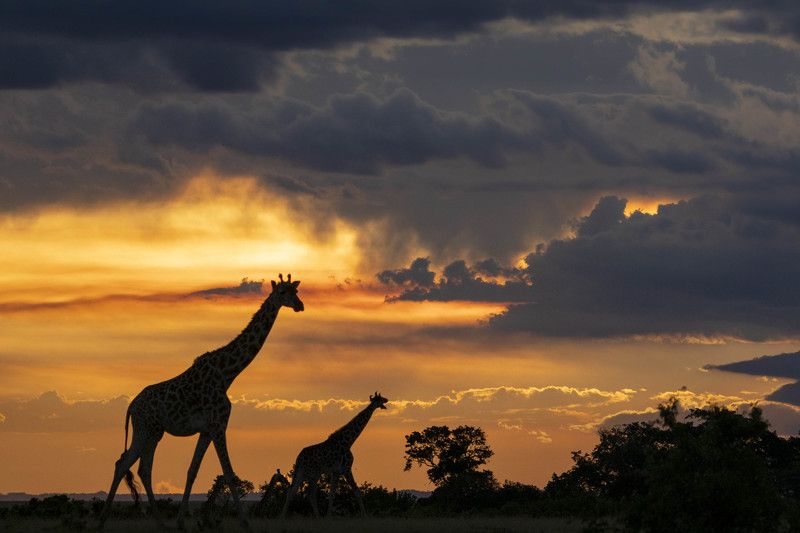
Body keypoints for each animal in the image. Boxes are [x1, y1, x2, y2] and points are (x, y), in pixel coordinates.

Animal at [99, 274, 304, 529]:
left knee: (142, 469)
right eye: (283, 293)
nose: (300, 305)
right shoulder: (218, 426)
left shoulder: (206, 431)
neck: (228, 374)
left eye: (296, 291)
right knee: (124, 464)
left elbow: (192, 471)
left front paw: (180, 521)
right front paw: (245, 522)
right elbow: (228, 472)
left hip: (154, 432)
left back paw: (160, 523)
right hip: (145, 429)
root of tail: (131, 406)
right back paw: (102, 521)